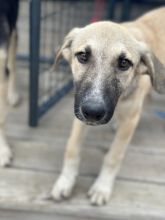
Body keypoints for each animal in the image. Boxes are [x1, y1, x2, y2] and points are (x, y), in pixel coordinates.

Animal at [51, 7, 165, 206]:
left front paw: (102, 187)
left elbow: (113, 156)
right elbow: (72, 147)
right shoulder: (79, 110)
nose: (93, 112)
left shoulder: (130, 120)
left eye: (124, 63)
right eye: (82, 56)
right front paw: (65, 181)